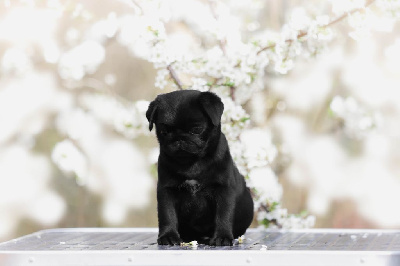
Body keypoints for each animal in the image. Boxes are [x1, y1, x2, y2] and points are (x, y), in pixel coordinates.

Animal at [146, 90, 253, 246]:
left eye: (196, 130)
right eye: (164, 132)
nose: (179, 139)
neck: (192, 163)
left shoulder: (223, 190)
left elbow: (223, 215)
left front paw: (222, 237)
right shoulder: (167, 191)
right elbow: (167, 214)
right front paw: (168, 236)